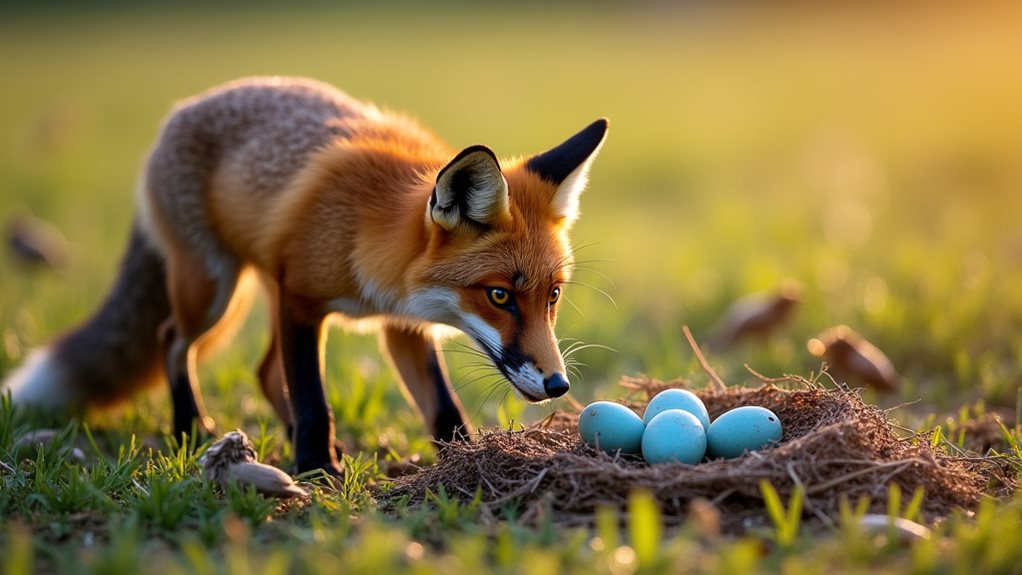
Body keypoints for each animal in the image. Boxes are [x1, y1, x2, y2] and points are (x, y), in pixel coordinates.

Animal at [2, 76, 608, 476]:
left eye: (553, 296)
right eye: (500, 295)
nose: (559, 386)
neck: (369, 236)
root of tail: (184, 108)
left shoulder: (403, 325)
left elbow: (441, 407)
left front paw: (466, 459)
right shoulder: (300, 300)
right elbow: (315, 400)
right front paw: (318, 470)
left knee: (265, 372)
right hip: (213, 289)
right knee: (172, 339)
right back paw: (191, 429)